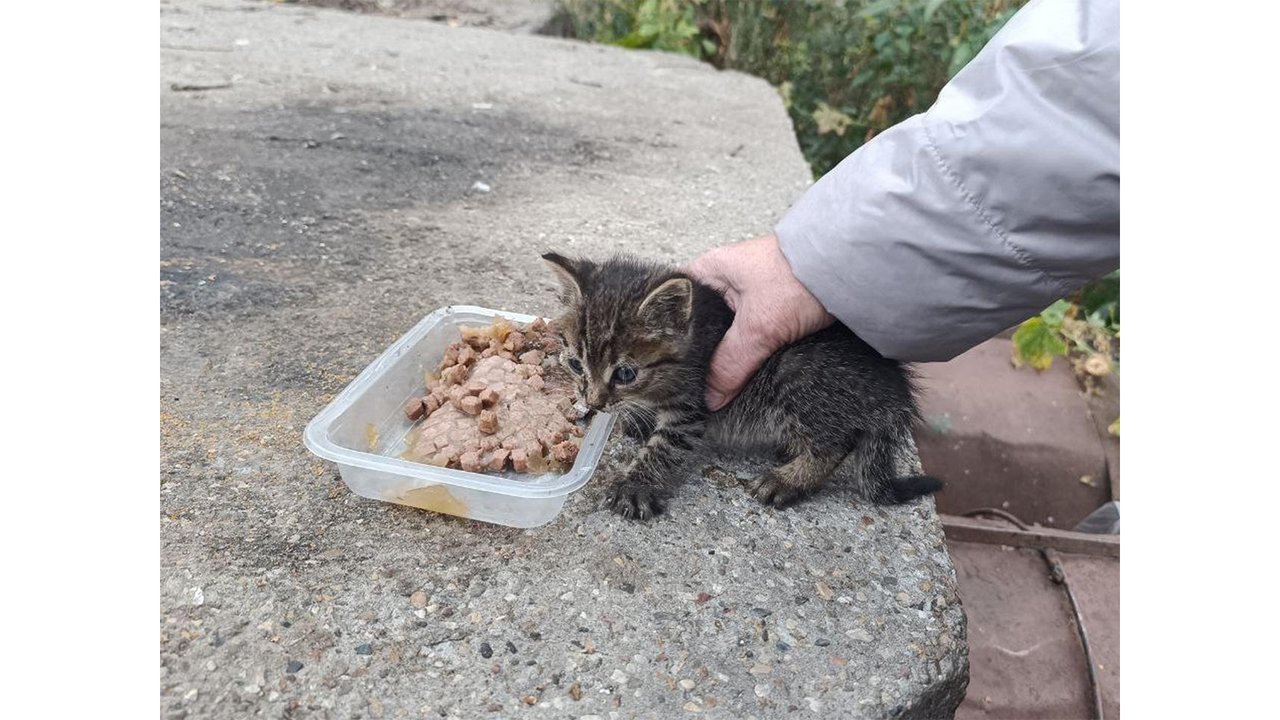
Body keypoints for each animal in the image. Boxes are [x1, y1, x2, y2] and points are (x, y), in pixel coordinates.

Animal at [540, 251, 942, 515]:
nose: (593, 403)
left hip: (796, 375)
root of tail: (894, 390)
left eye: (625, 374)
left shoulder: (693, 407)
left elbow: (665, 447)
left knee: (836, 444)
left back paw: (788, 480)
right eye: (575, 364)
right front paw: (638, 420)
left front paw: (637, 484)